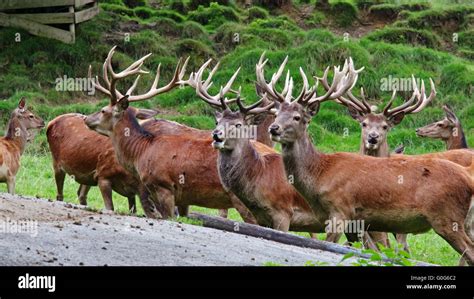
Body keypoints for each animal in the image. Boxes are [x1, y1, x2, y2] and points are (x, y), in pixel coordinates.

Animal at [264, 58, 474, 264]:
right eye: (276, 114)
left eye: (297, 117)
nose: (274, 128)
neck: (320, 175)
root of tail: (468, 179)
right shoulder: (354, 221)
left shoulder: (341, 210)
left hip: (447, 216)